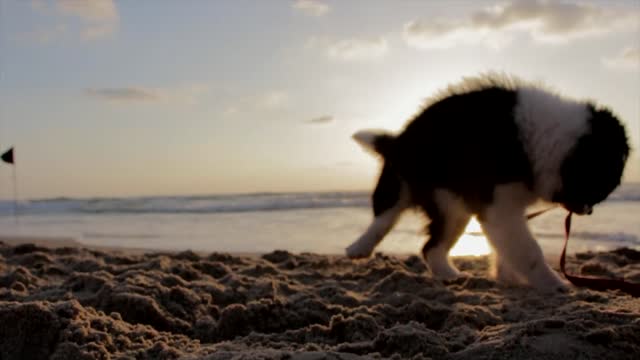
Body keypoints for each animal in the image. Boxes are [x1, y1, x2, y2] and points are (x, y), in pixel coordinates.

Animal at [348, 74, 628, 292]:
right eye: (601, 186)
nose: (588, 211)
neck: (550, 140)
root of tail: (399, 140)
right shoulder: (500, 205)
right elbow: (528, 249)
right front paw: (555, 284)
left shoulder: (506, 206)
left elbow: (509, 247)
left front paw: (509, 277)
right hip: (410, 188)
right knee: (386, 218)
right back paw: (359, 248)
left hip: (453, 206)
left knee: (430, 247)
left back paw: (449, 276)